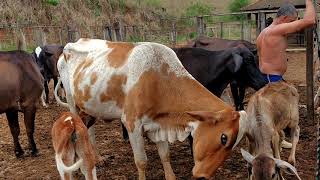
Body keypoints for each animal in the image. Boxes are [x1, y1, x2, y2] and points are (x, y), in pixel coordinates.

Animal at [55, 38, 248, 179]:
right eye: (224, 138)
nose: (203, 176)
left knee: (91, 129)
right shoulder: (132, 124)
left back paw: (98, 158)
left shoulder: (158, 122)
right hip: (72, 103)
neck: (158, 79)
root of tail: (70, 45)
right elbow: (141, 161)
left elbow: (165, 155)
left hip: (90, 108)